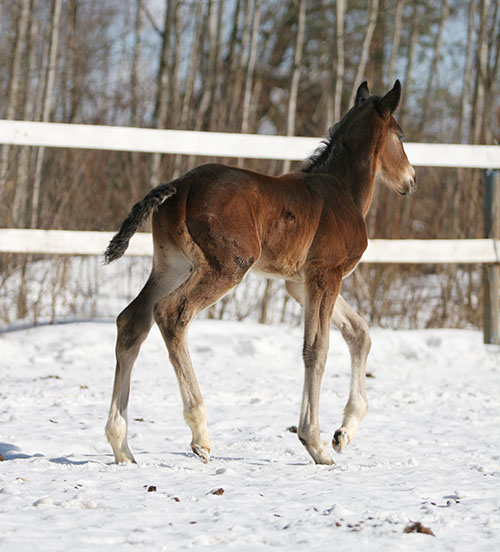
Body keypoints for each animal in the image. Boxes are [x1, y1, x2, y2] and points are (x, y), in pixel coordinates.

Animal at [104, 80, 414, 464]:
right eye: (400, 135)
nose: (411, 179)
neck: (343, 190)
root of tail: (180, 186)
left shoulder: (299, 283)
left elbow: (359, 333)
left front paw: (343, 433)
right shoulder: (325, 274)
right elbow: (317, 348)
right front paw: (316, 443)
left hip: (171, 264)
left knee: (132, 322)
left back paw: (121, 445)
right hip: (227, 266)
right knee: (171, 313)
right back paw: (200, 434)